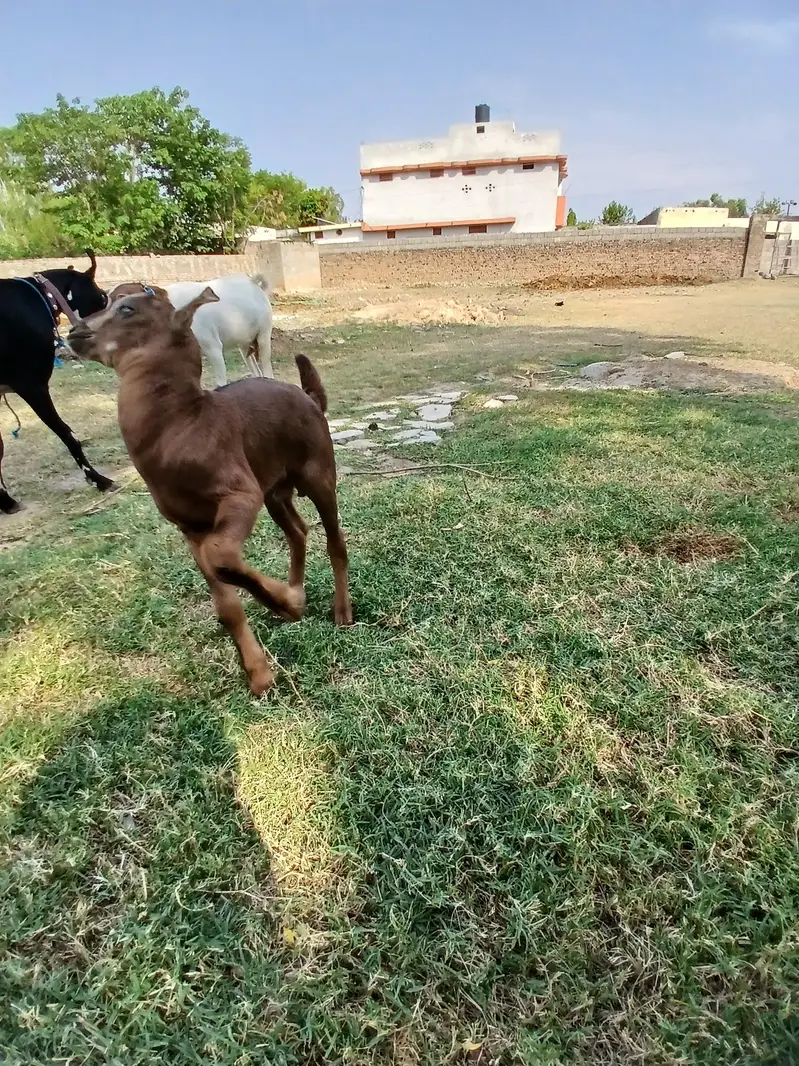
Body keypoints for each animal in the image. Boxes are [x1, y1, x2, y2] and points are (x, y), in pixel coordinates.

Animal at [67, 287, 352, 694]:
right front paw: (260, 668)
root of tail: (310, 398)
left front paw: (285, 602)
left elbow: (222, 556)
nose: (74, 331)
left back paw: (341, 610)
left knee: (334, 539)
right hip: (274, 490)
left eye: (126, 309)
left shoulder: (239, 496)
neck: (180, 425)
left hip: (316, 474)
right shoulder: (191, 528)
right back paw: (294, 591)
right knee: (297, 531)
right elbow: (225, 601)